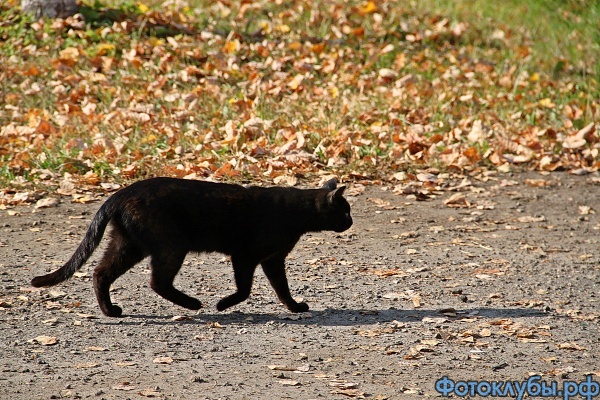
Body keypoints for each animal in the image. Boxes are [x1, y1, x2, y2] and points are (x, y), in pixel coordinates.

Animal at [31, 177, 352, 318]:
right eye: (346, 211)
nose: (351, 222)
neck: (298, 214)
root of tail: (122, 192)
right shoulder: (246, 255)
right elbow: (245, 289)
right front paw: (223, 304)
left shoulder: (273, 260)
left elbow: (282, 289)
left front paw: (295, 307)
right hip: (170, 245)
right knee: (157, 281)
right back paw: (193, 304)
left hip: (129, 245)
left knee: (101, 272)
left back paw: (110, 311)